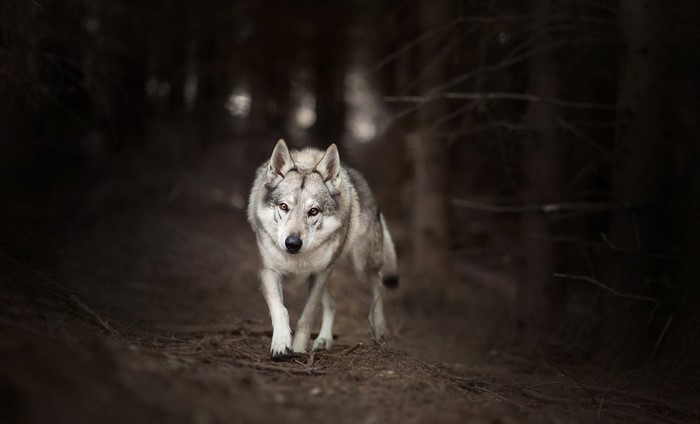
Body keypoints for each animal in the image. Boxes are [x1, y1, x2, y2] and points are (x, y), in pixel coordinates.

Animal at [247, 139, 398, 357]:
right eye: (284, 207)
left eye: (313, 211)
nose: (292, 243)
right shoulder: (269, 271)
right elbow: (280, 309)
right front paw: (281, 344)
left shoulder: (320, 273)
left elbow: (306, 317)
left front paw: (299, 351)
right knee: (333, 304)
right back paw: (324, 340)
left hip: (359, 265)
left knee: (378, 284)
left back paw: (377, 326)